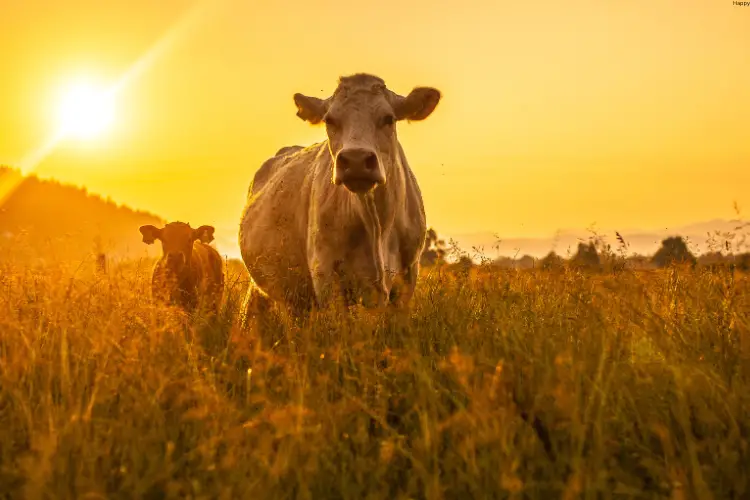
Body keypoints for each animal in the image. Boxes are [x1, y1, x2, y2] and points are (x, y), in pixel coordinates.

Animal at [239, 72, 440, 326]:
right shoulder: (325, 274)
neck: (377, 227)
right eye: (330, 120)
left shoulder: (407, 277)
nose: (356, 159)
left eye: (388, 118)